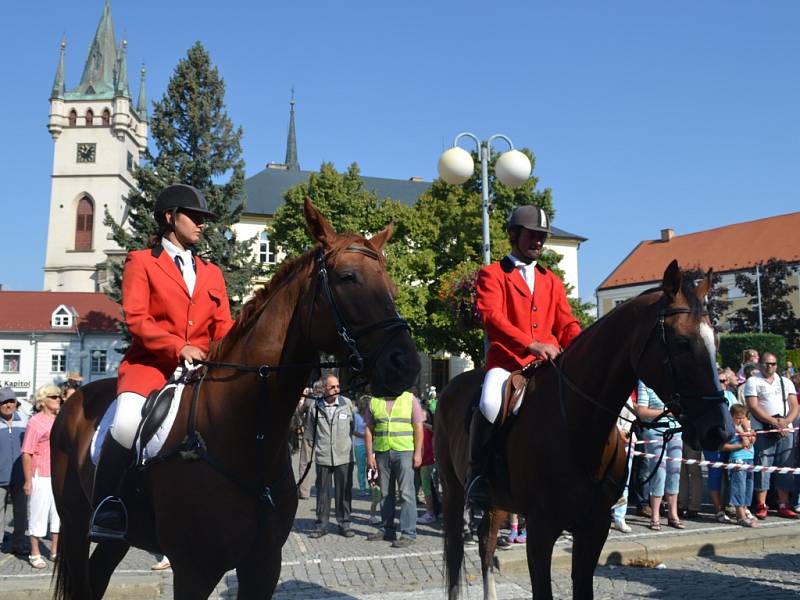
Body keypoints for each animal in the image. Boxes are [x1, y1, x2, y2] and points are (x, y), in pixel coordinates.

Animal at [50, 198, 422, 600]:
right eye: (348, 277)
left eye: (392, 286)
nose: (406, 365)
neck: (248, 437)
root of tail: (74, 400)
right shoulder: (194, 571)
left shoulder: (263, 565)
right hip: (75, 524)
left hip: (119, 538)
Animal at [434, 262, 736, 600]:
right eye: (682, 342)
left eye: (716, 343)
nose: (720, 431)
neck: (578, 427)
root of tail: (450, 387)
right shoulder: (540, 529)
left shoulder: (594, 527)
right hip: (453, 489)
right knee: (457, 555)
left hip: (497, 501)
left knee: (486, 544)